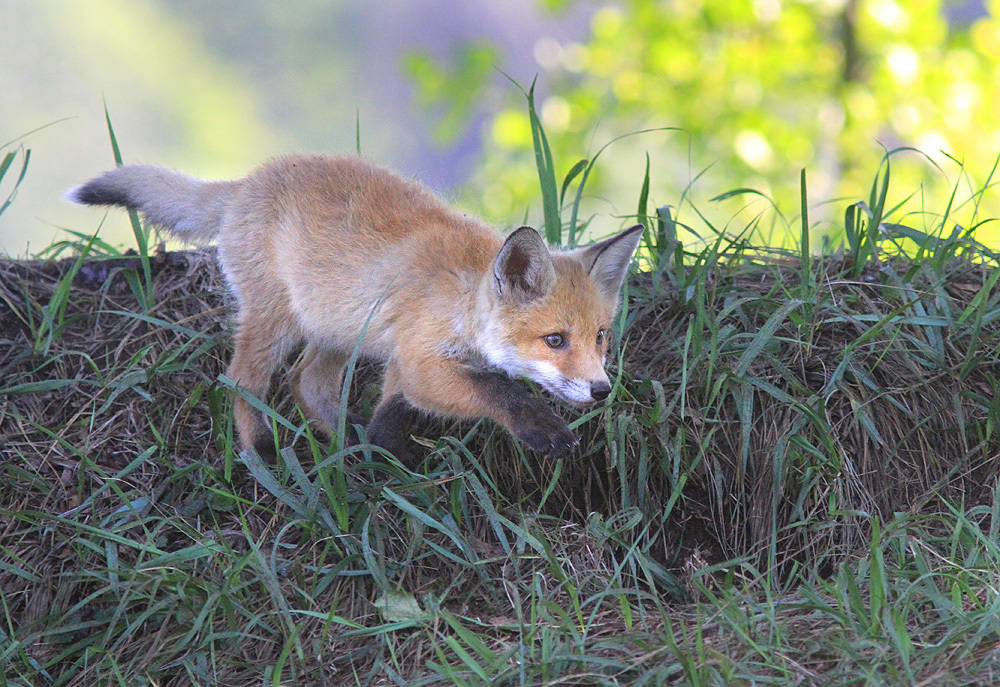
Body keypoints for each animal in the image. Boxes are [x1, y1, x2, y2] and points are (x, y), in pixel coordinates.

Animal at [68, 156, 640, 464]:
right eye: (555, 340)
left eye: (600, 337)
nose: (600, 390)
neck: (461, 297)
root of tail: (248, 181)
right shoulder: (420, 358)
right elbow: (497, 390)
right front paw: (543, 429)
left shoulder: (403, 360)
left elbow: (395, 408)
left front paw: (382, 450)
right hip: (276, 321)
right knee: (241, 381)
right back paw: (263, 456)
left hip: (337, 330)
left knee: (305, 383)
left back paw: (346, 440)